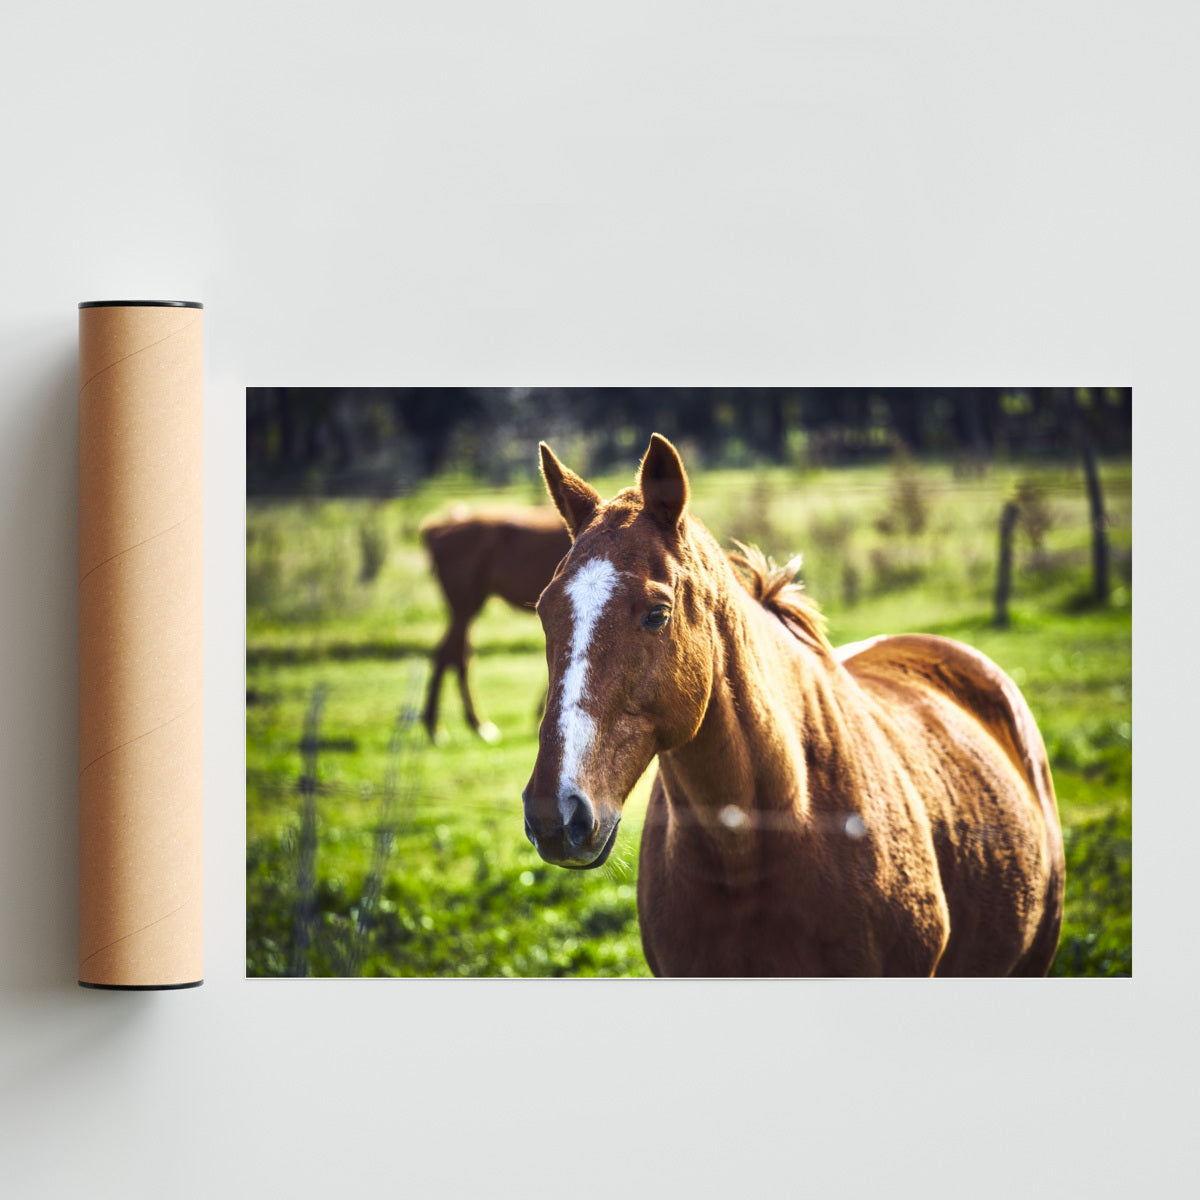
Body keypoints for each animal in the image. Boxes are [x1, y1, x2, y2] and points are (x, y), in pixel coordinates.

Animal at [421, 506, 570, 742]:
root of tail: (436, 529)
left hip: (470, 604)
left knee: (456, 655)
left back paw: (468, 724)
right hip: (464, 605)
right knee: (449, 655)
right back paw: (445, 726)